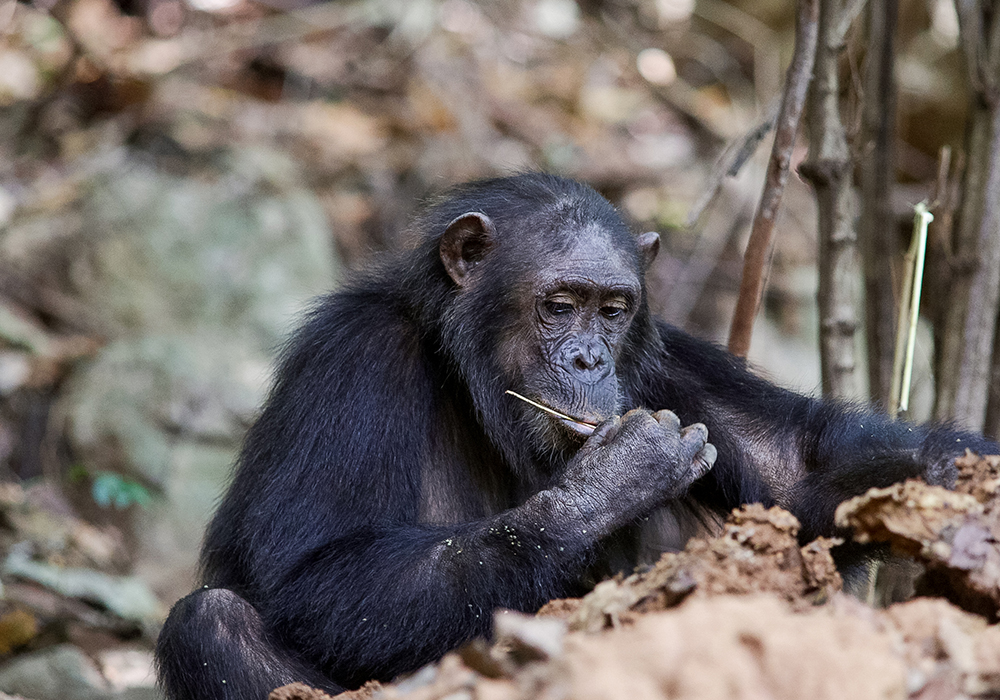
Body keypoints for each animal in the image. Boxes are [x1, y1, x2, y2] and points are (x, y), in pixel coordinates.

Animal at [154, 174, 992, 700]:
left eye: (613, 310)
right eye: (560, 305)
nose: (591, 358)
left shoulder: (663, 355)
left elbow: (799, 468)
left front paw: (960, 474)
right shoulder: (350, 359)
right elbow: (315, 565)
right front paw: (611, 483)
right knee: (212, 622)